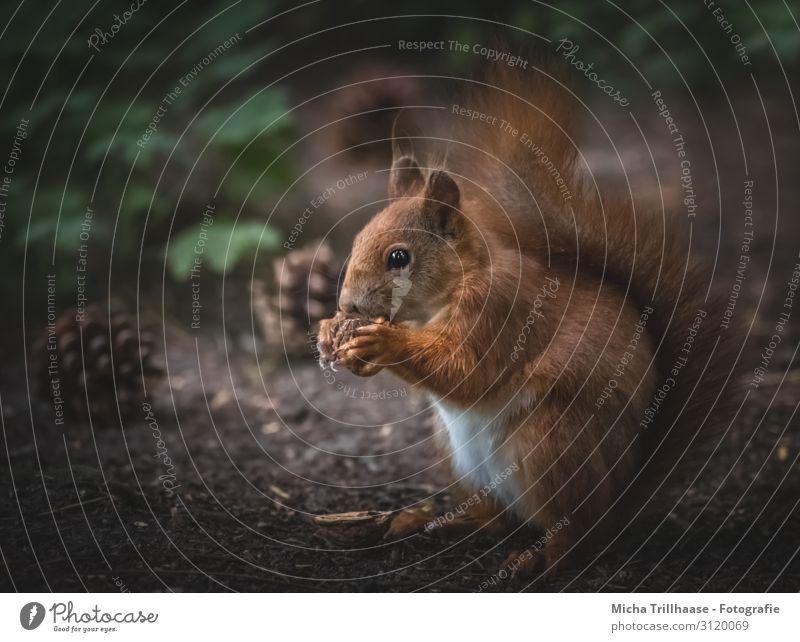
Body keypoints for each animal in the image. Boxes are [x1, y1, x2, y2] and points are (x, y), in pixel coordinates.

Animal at [318, 62, 736, 572]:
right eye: (357, 240)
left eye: (399, 257)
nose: (349, 308)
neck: (445, 296)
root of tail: (616, 502)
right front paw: (331, 336)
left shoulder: (499, 312)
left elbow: (466, 370)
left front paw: (382, 342)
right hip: (459, 457)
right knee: (498, 522)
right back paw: (443, 522)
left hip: (551, 445)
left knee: (573, 533)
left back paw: (538, 558)